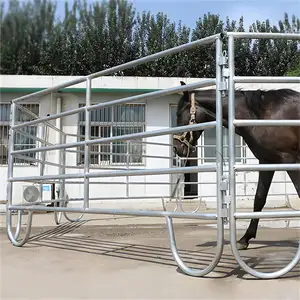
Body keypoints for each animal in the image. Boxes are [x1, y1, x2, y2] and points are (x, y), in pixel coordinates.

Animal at [172, 81, 298, 250]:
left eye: (179, 114)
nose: (176, 148)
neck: (262, 115)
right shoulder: (267, 161)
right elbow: (259, 198)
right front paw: (244, 239)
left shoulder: (290, 160)